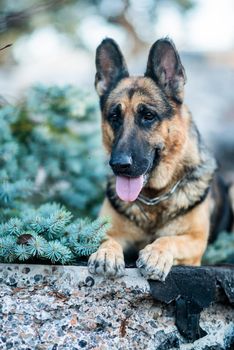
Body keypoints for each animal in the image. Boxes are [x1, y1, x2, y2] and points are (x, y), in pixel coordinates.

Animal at [87, 37, 232, 280]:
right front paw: (106, 253)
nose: (119, 165)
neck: (154, 198)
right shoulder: (108, 230)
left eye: (148, 116)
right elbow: (107, 239)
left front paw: (156, 253)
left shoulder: (195, 241)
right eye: (114, 116)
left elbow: (170, 239)